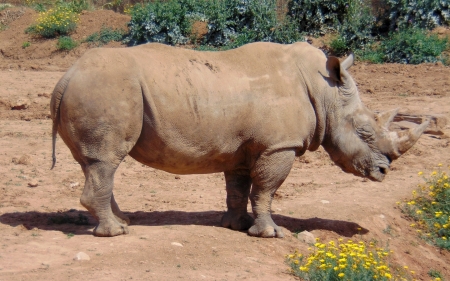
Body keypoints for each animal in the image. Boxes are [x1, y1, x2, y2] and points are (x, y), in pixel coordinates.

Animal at [50, 42, 428, 236]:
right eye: (365, 133)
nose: (384, 172)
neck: (326, 93)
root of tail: (66, 76)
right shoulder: (278, 145)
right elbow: (266, 189)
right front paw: (270, 233)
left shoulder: (245, 148)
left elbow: (239, 188)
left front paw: (235, 225)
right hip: (105, 87)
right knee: (106, 160)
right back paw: (116, 233)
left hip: (96, 87)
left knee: (96, 164)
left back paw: (122, 222)